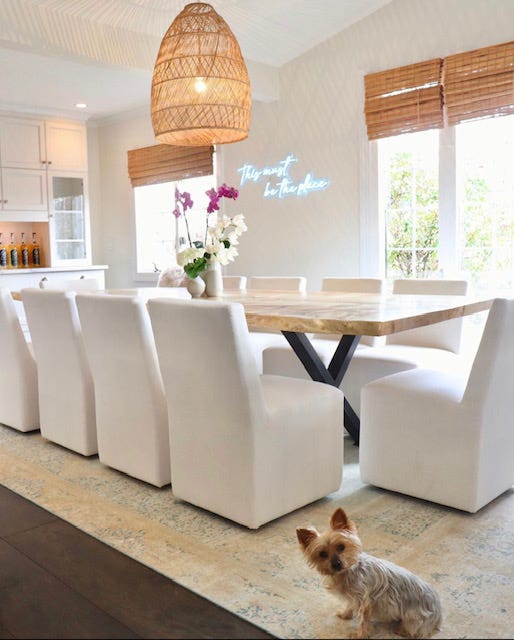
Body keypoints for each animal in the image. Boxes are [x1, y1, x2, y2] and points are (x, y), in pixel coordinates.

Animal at [296, 508, 440, 636]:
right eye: (322, 554)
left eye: (341, 547)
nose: (336, 564)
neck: (346, 572)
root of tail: (439, 614)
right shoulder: (352, 598)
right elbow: (349, 605)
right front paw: (345, 614)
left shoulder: (364, 602)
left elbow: (363, 622)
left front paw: (359, 635)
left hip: (414, 617)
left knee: (414, 630)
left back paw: (401, 630)